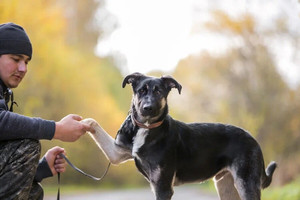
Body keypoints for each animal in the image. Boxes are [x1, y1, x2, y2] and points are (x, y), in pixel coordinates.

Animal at [81, 72, 276, 200]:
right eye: (141, 91)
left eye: (158, 91)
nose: (147, 108)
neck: (146, 127)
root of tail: (253, 139)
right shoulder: (116, 153)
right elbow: (92, 122)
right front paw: (79, 123)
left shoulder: (163, 187)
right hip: (226, 185)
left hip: (246, 183)